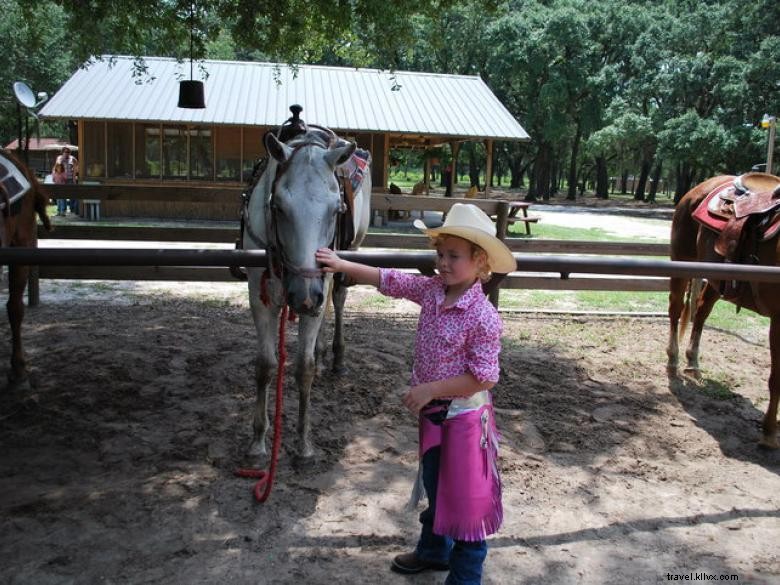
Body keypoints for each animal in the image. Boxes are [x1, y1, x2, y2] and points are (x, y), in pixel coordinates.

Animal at [242, 114, 371, 461]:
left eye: (337, 209)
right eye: (277, 207)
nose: (303, 296)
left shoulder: (320, 284)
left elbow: (305, 368)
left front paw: (303, 443)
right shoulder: (260, 297)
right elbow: (266, 365)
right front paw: (258, 439)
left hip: (344, 261)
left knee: (336, 300)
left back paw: (336, 357)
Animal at [667, 173, 780, 449]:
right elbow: (777, 378)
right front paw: (769, 432)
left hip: (718, 278)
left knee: (701, 310)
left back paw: (692, 362)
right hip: (682, 261)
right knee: (676, 308)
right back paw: (673, 359)